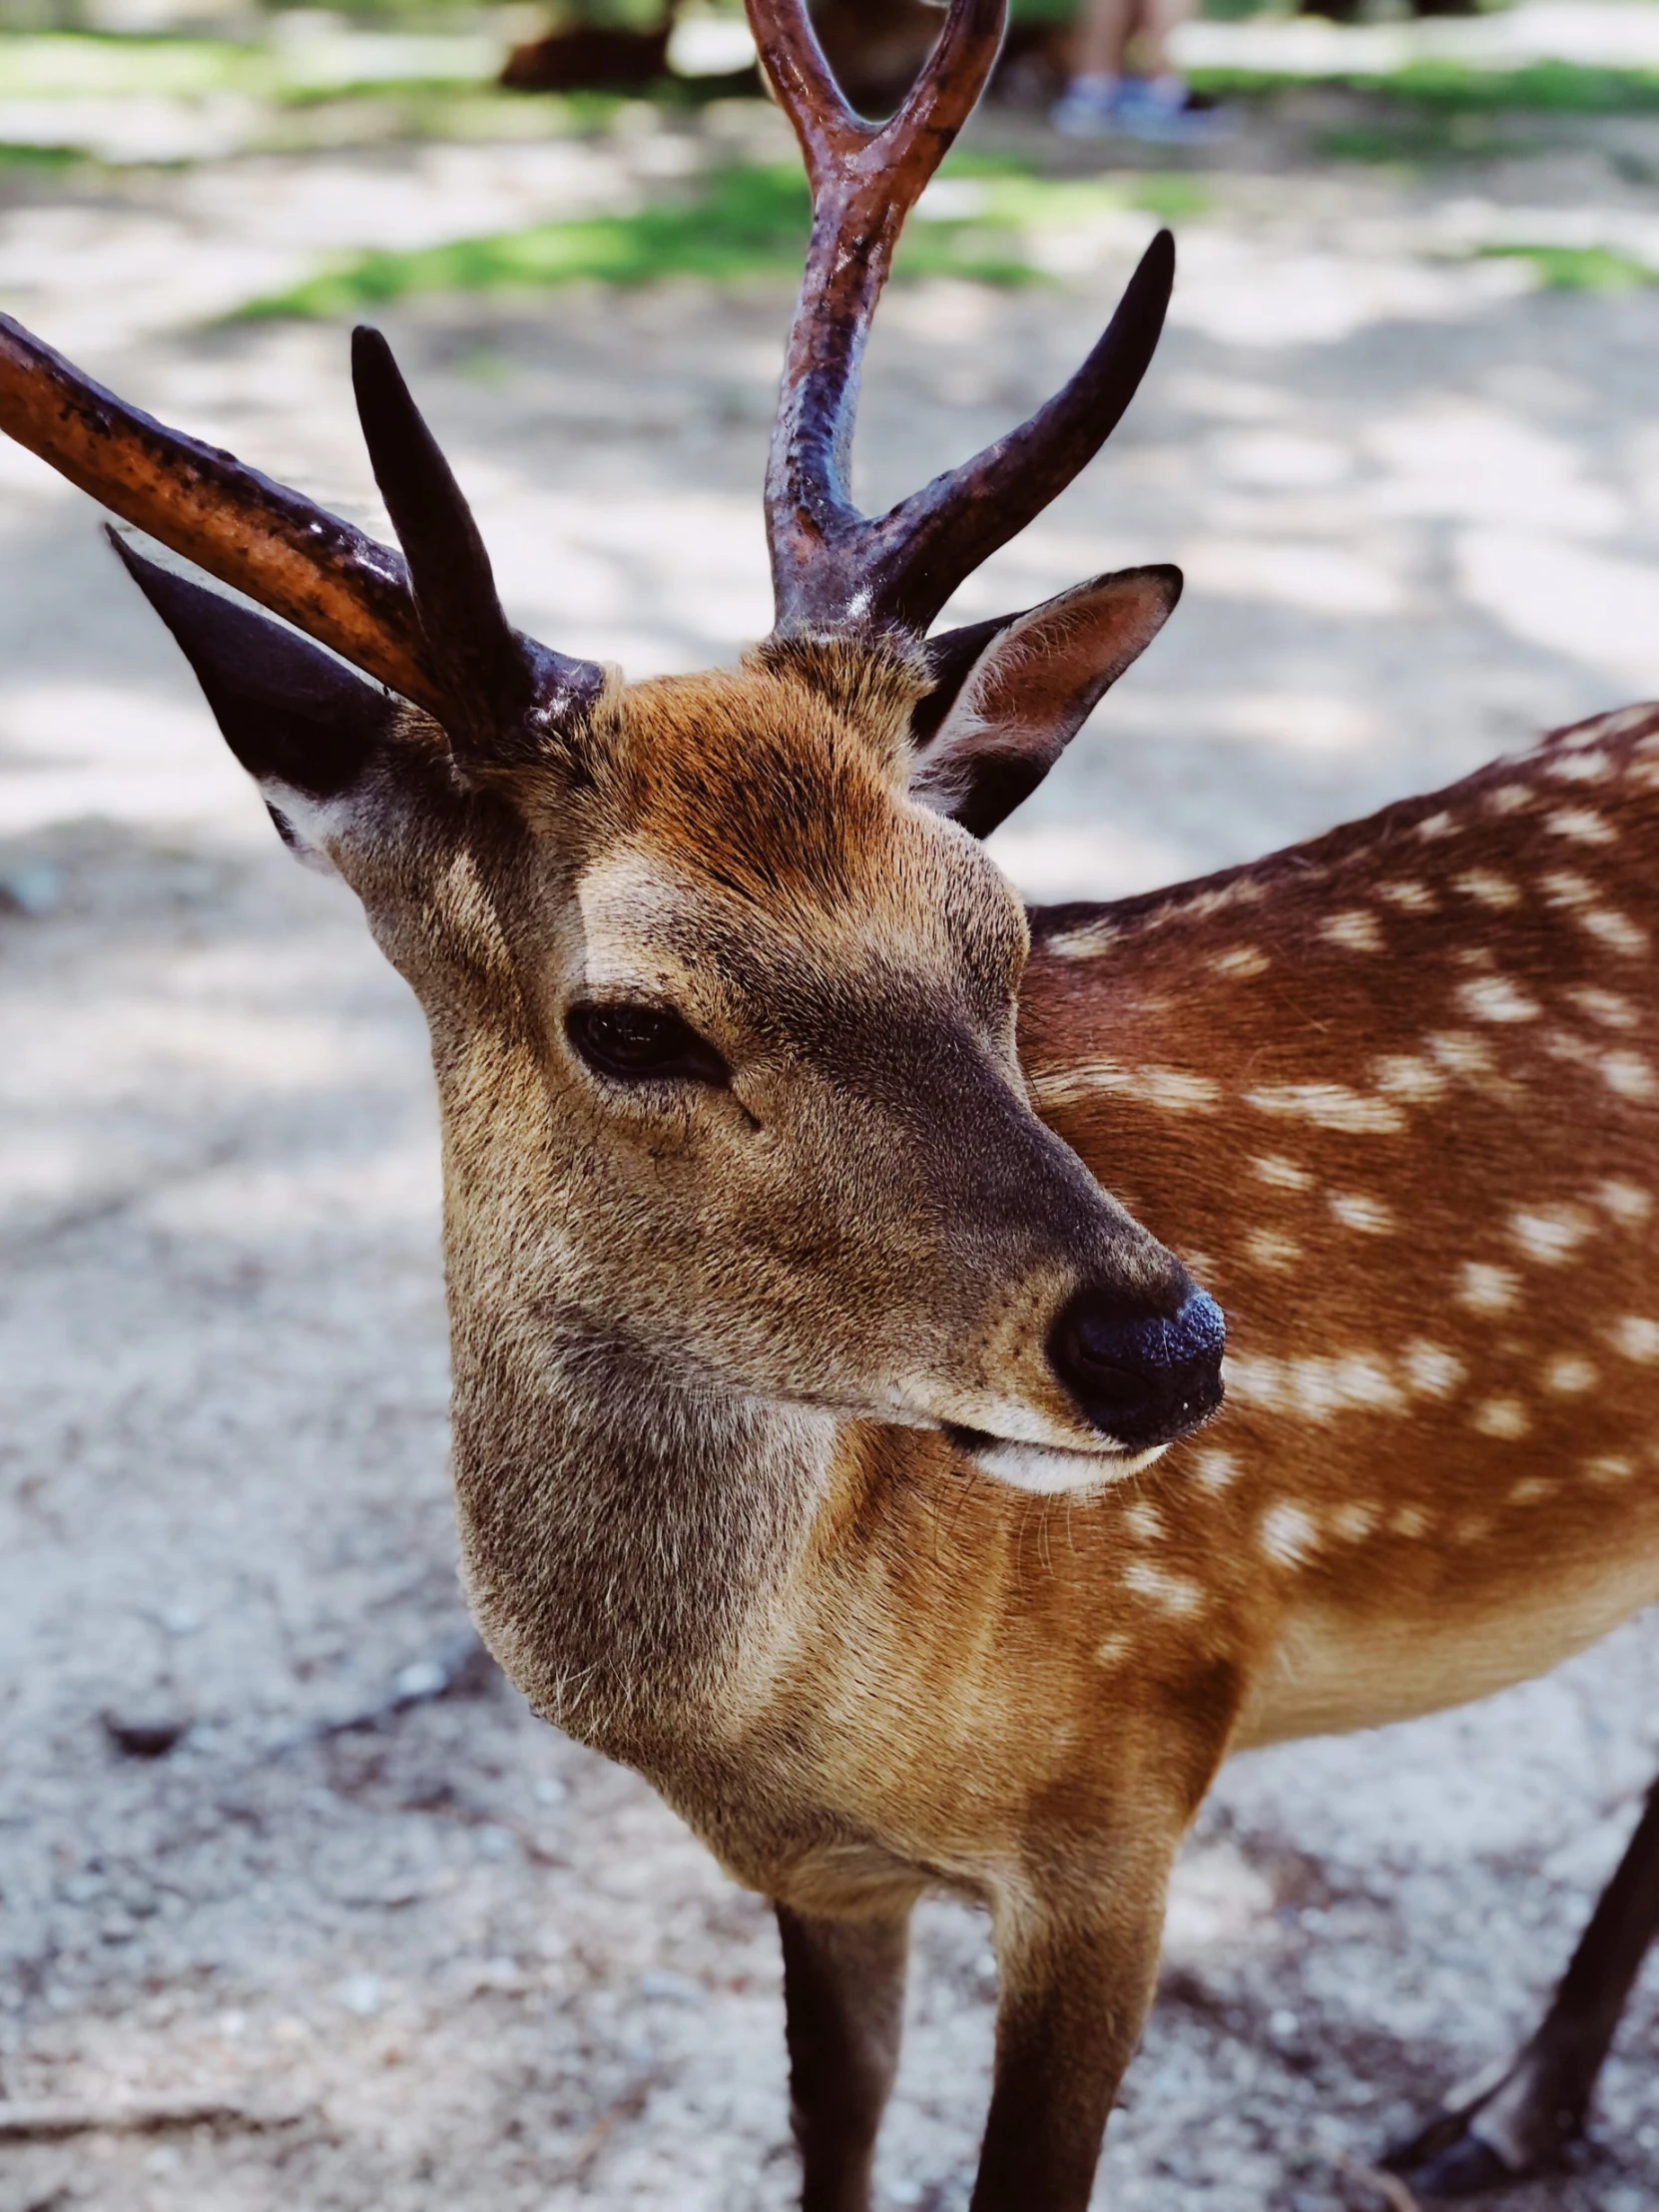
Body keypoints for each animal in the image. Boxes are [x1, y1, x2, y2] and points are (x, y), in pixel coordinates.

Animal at [3, 4, 1659, 2212]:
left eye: (1000, 926)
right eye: (632, 1024)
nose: (1170, 1343)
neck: (785, 1718)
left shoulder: (1134, 1773)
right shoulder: (817, 1874)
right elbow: (834, 2132)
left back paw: (1504, 2110)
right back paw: (1525, 2104)